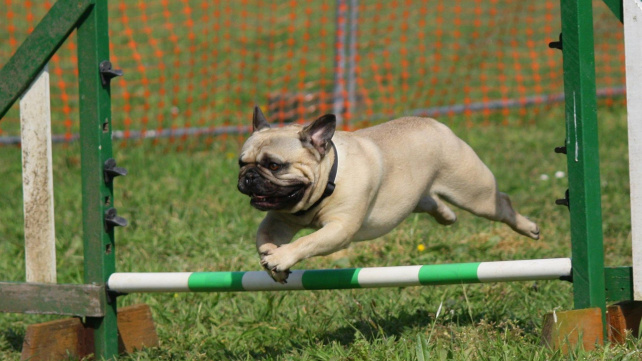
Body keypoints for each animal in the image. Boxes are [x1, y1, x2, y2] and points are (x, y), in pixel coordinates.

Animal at [238, 106, 536, 282]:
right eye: (241, 163)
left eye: (274, 165)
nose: (248, 176)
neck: (327, 180)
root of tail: (436, 125)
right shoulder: (278, 220)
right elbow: (262, 237)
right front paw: (271, 258)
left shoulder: (339, 229)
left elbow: (307, 241)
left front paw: (280, 257)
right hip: (416, 196)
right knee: (430, 201)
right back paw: (446, 215)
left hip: (474, 192)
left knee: (501, 203)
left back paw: (528, 227)